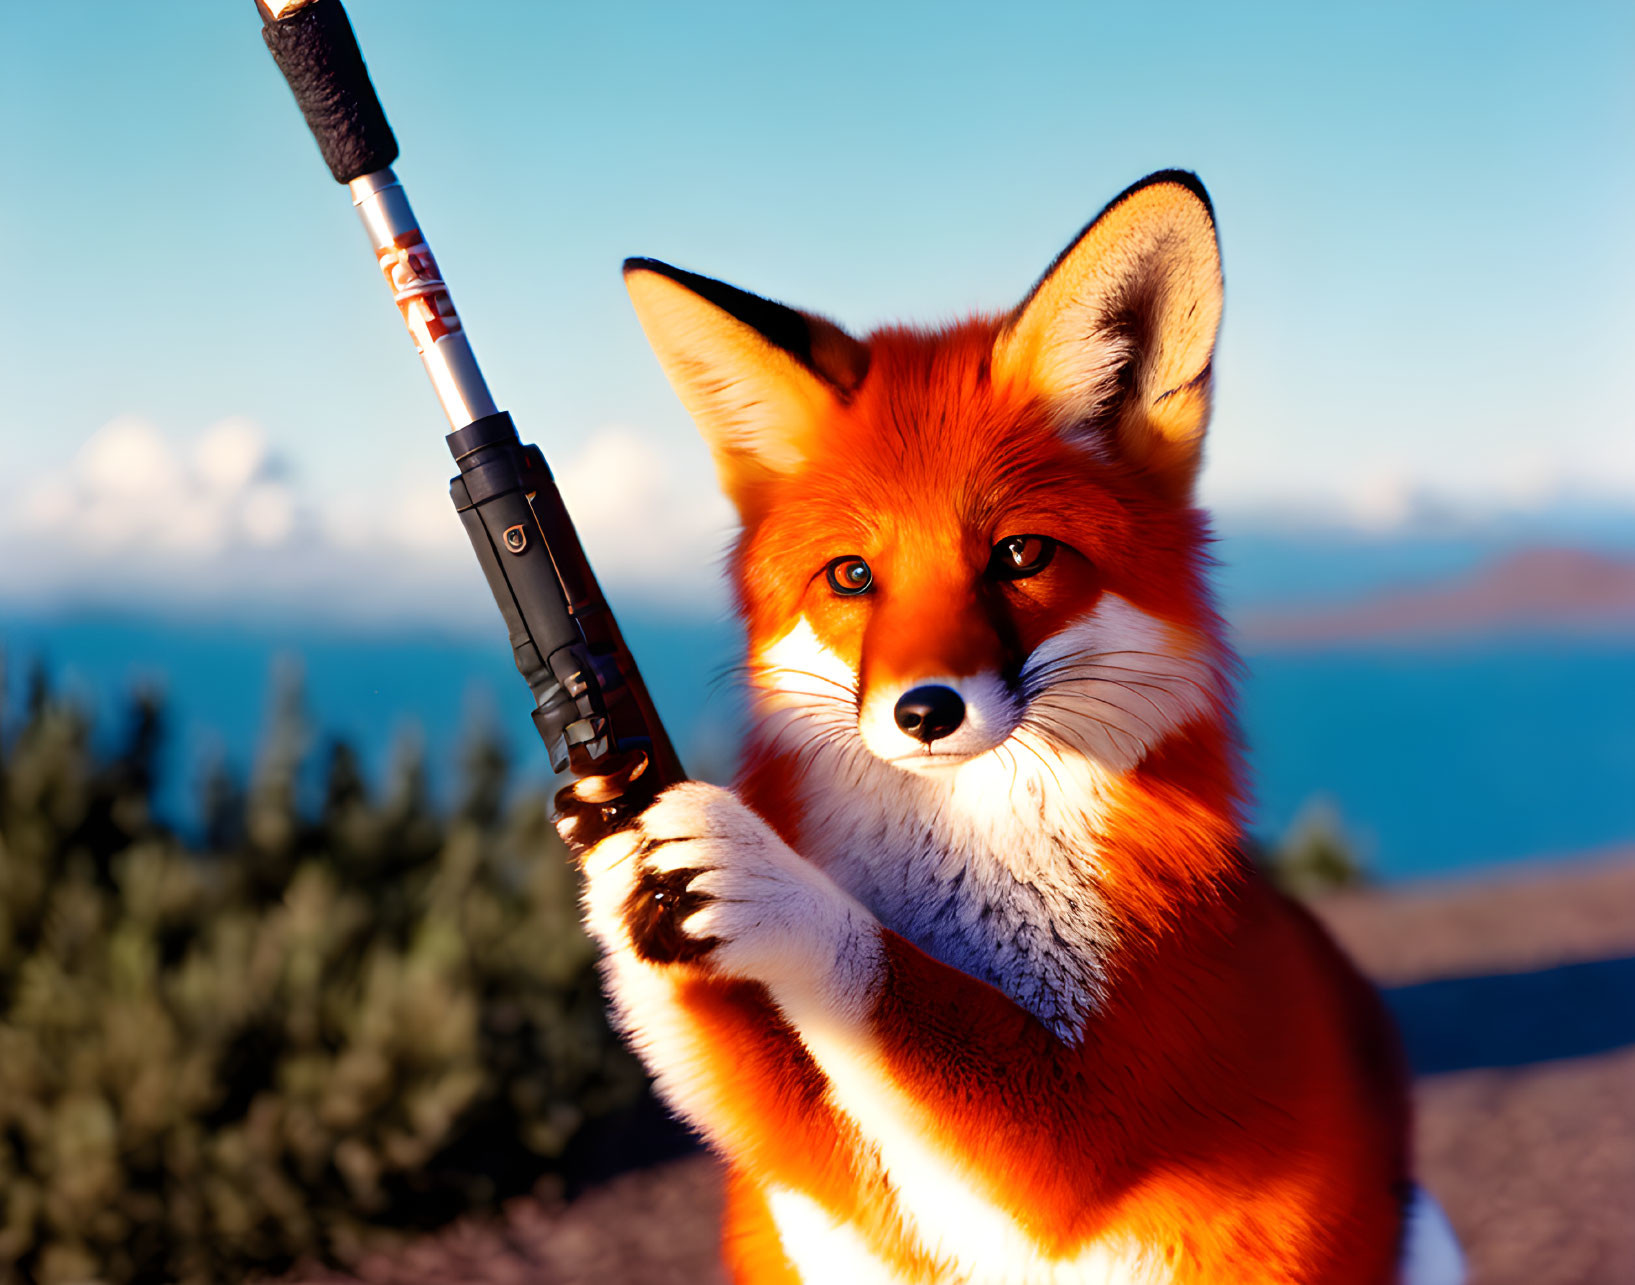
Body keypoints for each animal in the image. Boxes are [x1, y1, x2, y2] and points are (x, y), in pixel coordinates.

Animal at [559, 172, 1458, 1281]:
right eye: (851, 576)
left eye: (1021, 555)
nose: (924, 710)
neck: (961, 879)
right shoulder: (837, 1175)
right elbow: (752, 1084)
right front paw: (613, 856)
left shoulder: (1100, 1122)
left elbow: (894, 987)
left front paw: (766, 879)